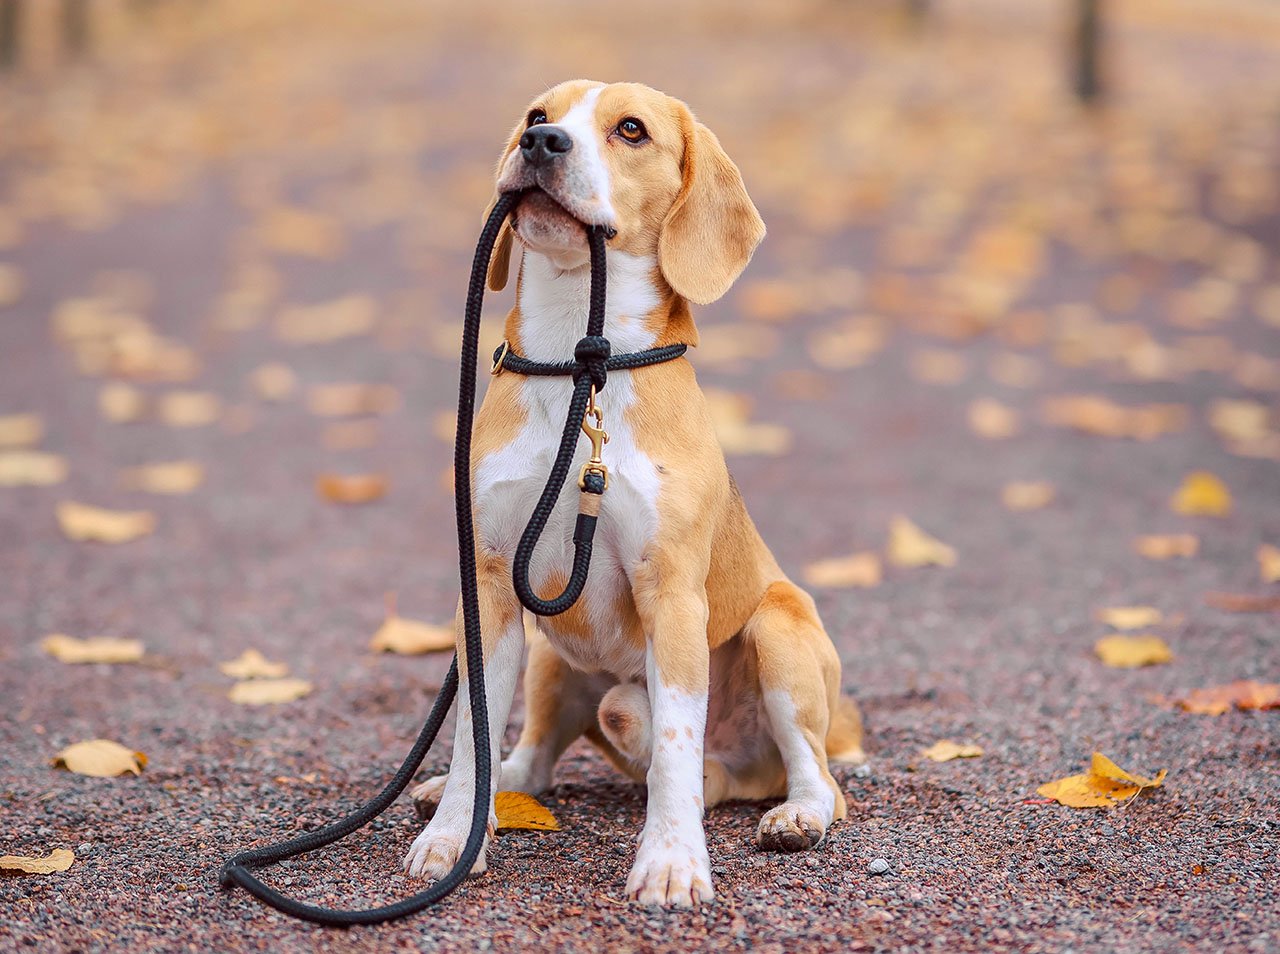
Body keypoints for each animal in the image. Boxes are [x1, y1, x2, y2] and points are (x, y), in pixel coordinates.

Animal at [409, 80, 870, 901]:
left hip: (779, 631)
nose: (542, 144)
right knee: (534, 756)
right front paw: (454, 838)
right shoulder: (487, 585)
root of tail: (742, 772)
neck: (578, 369)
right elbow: (473, 731)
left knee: (807, 773)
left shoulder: (673, 594)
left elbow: (676, 744)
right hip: (551, 656)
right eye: (536, 117)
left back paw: (796, 814)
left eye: (630, 130)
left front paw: (672, 861)